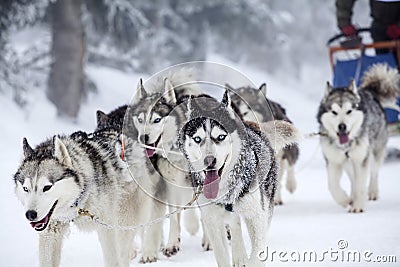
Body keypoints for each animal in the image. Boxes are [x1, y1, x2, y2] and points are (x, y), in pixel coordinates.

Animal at [12, 129, 155, 266]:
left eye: (47, 187)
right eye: (26, 189)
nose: (30, 214)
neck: (79, 201)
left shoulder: (107, 229)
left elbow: (112, 259)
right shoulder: (51, 233)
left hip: (123, 221)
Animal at [180, 91, 298, 266]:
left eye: (220, 137)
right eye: (197, 139)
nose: (209, 161)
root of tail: (252, 125)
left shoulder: (257, 216)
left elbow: (256, 253)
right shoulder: (212, 220)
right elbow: (222, 254)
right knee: (234, 223)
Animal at [318, 63, 398, 213]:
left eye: (349, 111)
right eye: (334, 112)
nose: (342, 127)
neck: (346, 146)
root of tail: (369, 92)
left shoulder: (361, 159)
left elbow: (361, 184)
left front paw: (358, 207)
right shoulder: (333, 161)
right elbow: (332, 185)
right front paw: (343, 199)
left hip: (374, 152)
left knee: (374, 172)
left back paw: (372, 192)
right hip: (348, 163)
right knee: (353, 179)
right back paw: (352, 197)